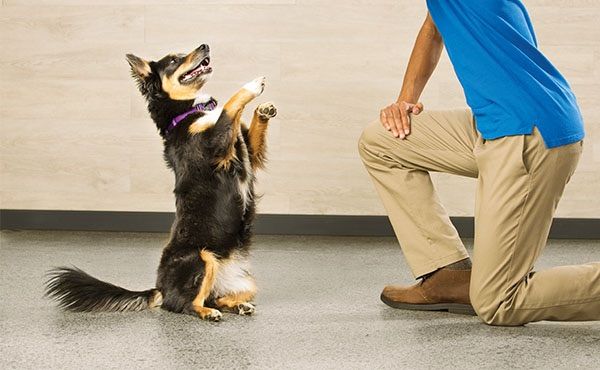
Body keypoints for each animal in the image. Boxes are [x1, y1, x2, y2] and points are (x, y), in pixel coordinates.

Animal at [45, 43, 278, 320]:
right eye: (175, 60)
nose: (205, 45)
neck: (189, 111)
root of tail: (159, 288)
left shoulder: (247, 153)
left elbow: (246, 129)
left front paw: (263, 111)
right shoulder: (214, 146)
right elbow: (229, 107)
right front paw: (252, 86)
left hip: (246, 283)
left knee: (215, 298)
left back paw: (237, 305)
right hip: (201, 258)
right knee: (184, 304)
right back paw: (206, 312)